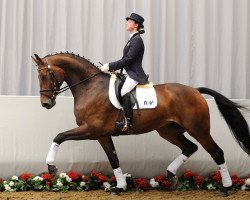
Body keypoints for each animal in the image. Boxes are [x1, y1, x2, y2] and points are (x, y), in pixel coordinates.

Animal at [31, 52, 250, 195]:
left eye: (45, 75)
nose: (46, 104)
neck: (89, 87)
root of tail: (195, 91)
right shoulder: (102, 135)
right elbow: (114, 159)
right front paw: (119, 187)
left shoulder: (91, 129)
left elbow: (59, 135)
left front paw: (51, 167)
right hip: (168, 130)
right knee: (190, 147)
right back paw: (171, 175)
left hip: (198, 129)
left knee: (216, 152)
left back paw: (226, 187)